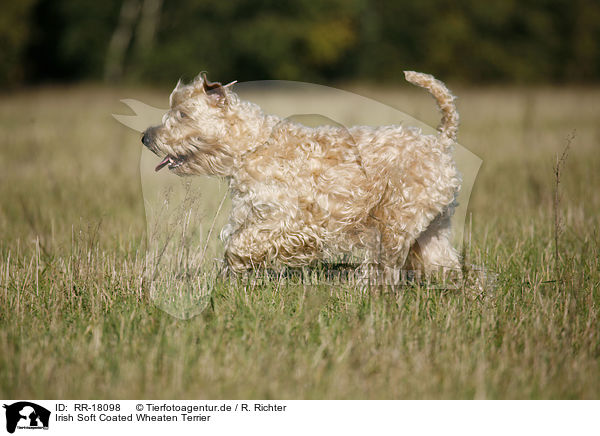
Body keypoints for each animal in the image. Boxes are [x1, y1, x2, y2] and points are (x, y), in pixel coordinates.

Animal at [143, 70, 462, 276]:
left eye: (182, 114)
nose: (146, 137)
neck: (251, 145)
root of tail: (440, 142)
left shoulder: (286, 218)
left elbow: (239, 243)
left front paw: (238, 264)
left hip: (396, 222)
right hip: (432, 227)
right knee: (446, 264)